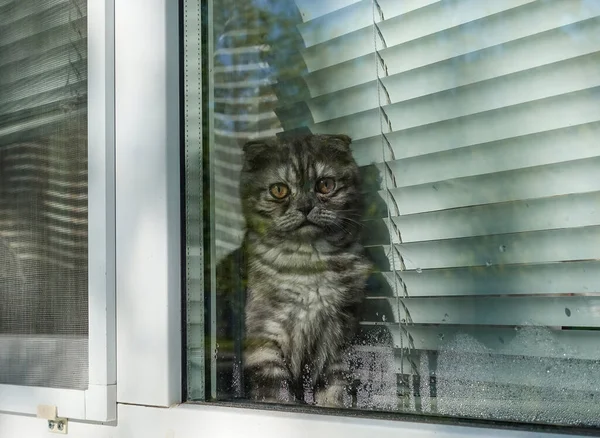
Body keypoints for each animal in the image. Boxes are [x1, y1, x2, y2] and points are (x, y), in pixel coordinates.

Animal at [238, 133, 372, 408]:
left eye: (325, 185)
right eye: (279, 190)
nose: (306, 206)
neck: (309, 265)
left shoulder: (337, 337)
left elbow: (333, 387)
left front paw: (331, 406)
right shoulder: (265, 336)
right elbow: (278, 392)